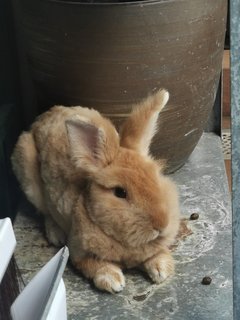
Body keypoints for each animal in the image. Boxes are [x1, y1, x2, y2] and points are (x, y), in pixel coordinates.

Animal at [11, 89, 180, 292]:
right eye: (120, 192)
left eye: (156, 177)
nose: (161, 224)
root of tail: (43, 118)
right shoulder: (79, 253)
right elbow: (96, 265)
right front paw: (114, 281)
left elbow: (158, 254)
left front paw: (162, 271)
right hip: (29, 178)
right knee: (46, 213)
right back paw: (56, 236)